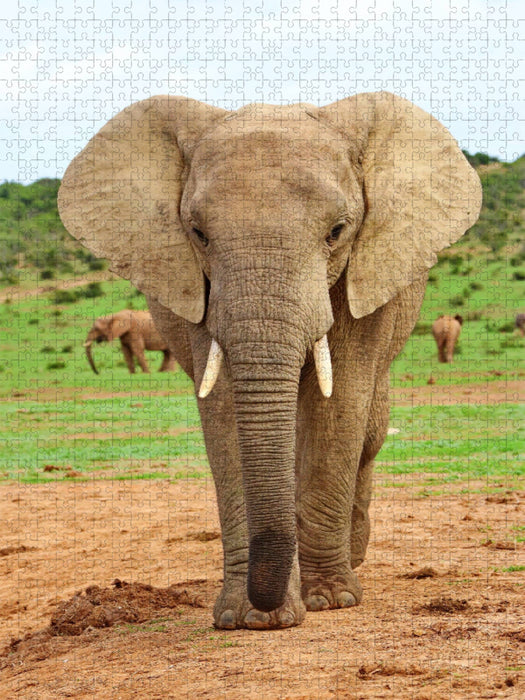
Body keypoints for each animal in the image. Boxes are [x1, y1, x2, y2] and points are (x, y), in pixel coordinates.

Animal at [58, 91, 481, 630]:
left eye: (337, 231)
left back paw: (353, 557)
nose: (268, 601)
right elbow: (223, 411)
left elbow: (340, 400)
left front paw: (329, 600)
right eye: (197, 233)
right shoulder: (201, 293)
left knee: (369, 432)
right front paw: (250, 617)